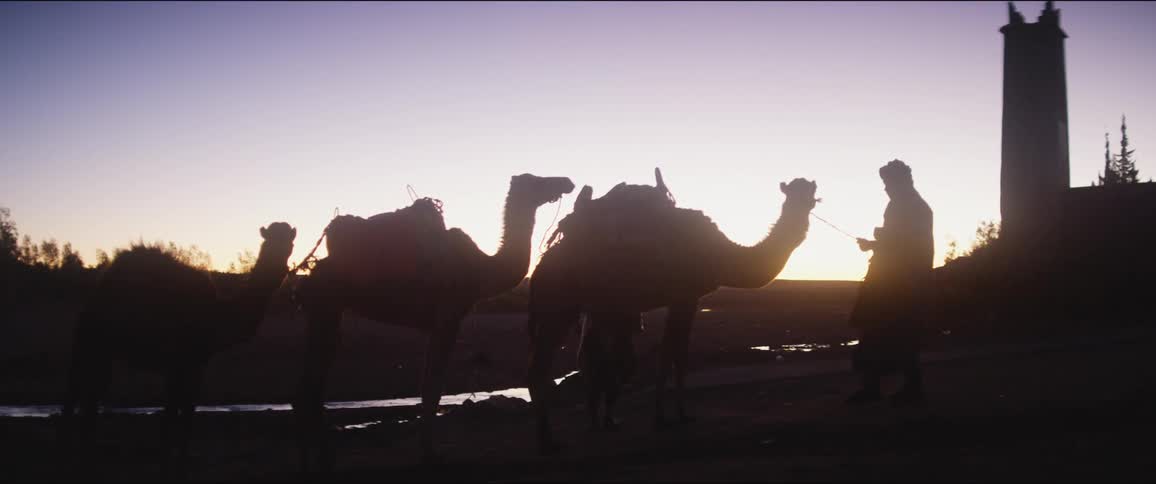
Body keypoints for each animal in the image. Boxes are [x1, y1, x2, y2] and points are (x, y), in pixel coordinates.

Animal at [62, 222, 297, 468]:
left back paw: (86, 445)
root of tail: (100, 286)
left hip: (104, 348)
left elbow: (181, 407)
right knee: (76, 387)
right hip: (91, 336)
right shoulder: (182, 362)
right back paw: (68, 446)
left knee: (93, 391)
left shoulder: (191, 364)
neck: (218, 316)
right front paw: (173, 455)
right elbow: (179, 408)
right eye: (266, 243)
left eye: (290, 245)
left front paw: (177, 453)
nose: (279, 269)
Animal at [293, 173, 574, 469]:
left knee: (310, 384)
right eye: (538, 181)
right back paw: (318, 459)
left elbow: (427, 385)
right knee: (311, 384)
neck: (482, 269)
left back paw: (315, 458)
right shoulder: (448, 317)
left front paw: (427, 450)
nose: (566, 182)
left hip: (327, 311)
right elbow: (433, 387)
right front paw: (430, 454)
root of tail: (310, 274)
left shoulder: (435, 324)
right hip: (327, 306)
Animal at [527, 170, 817, 453]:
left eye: (812, 192)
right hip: (560, 303)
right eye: (794, 192)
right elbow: (675, 355)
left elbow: (671, 352)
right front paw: (674, 416)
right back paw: (547, 440)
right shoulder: (686, 297)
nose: (806, 203)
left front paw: (666, 415)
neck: (721, 254)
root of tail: (541, 265)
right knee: (540, 366)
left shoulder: (684, 299)